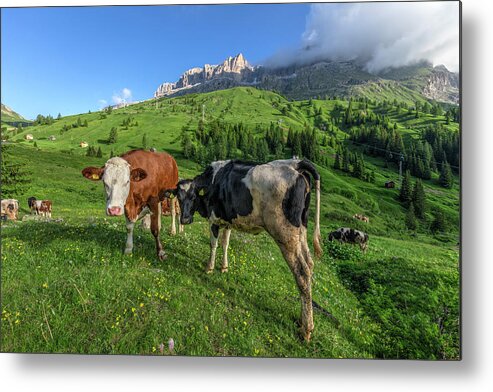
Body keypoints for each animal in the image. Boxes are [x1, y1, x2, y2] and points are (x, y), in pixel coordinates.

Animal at [161, 158, 320, 342]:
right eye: (178, 197)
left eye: (193, 196)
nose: (185, 219)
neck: (213, 180)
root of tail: (296, 163)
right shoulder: (228, 220)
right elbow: (225, 243)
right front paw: (224, 267)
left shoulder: (214, 219)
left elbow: (213, 244)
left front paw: (209, 268)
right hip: (301, 230)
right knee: (309, 264)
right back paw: (301, 321)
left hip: (285, 234)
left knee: (302, 272)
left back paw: (307, 329)